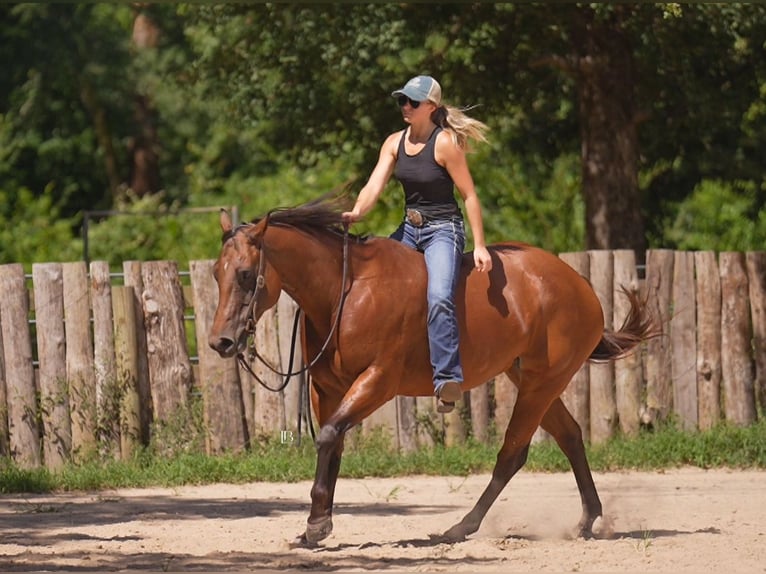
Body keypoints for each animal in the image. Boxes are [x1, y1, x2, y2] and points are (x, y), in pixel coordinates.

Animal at [208, 192, 655, 546]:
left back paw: (461, 527)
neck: (345, 292)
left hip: (541, 384)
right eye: (216, 272)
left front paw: (318, 524)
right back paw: (587, 519)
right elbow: (332, 443)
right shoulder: (326, 389)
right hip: (531, 380)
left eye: (246, 274)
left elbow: (330, 435)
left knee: (513, 453)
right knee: (570, 435)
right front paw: (315, 525)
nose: (220, 342)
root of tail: (581, 288)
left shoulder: (378, 382)